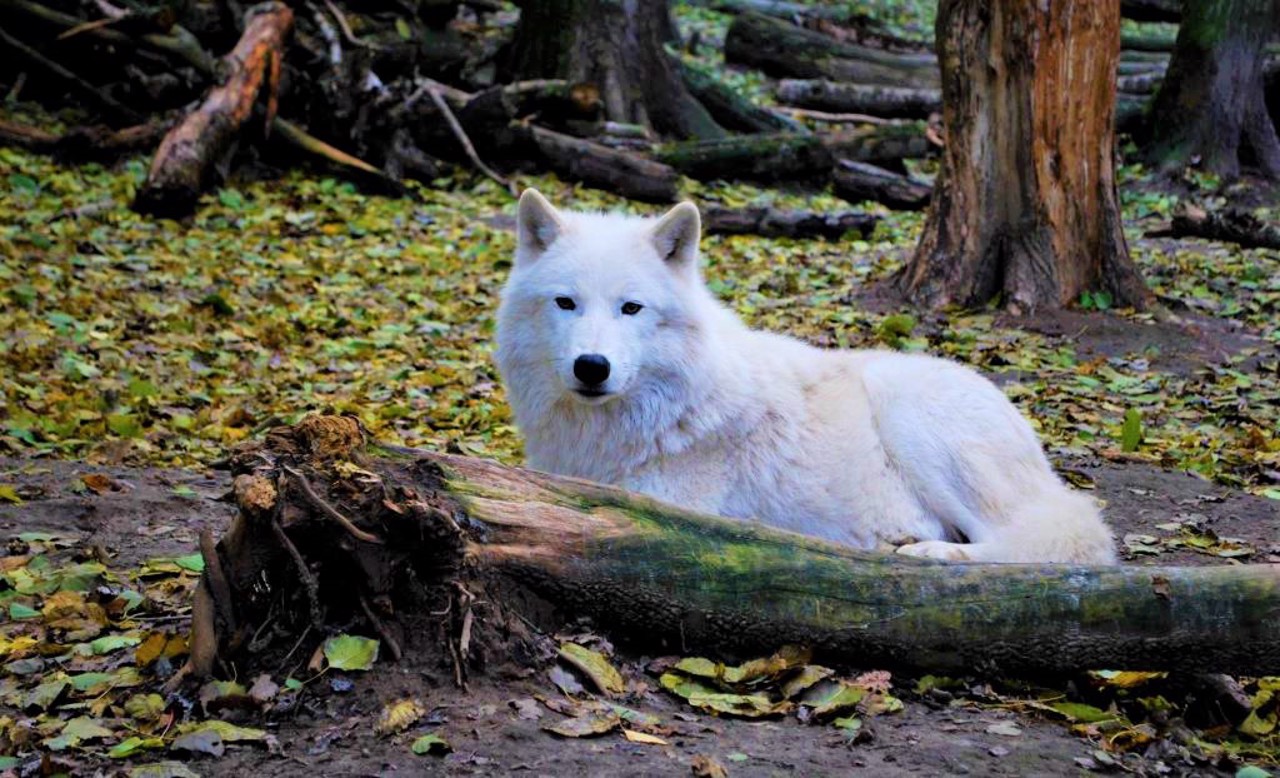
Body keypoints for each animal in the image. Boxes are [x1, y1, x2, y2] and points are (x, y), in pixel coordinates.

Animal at [494, 190, 1116, 563]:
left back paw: (933, 554)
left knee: (1064, 541)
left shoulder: (664, 515)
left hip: (909, 414)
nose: (591, 367)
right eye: (566, 303)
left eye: (631, 308)